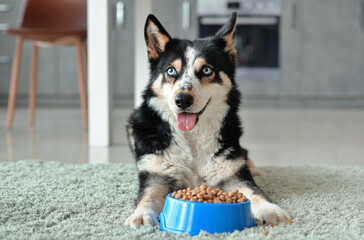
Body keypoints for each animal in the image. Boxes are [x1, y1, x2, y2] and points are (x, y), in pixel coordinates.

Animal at [125, 11, 290, 229]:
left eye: (206, 70)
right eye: (170, 71)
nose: (182, 100)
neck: (191, 138)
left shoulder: (233, 174)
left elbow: (254, 192)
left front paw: (270, 209)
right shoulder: (156, 175)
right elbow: (148, 197)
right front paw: (142, 215)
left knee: (245, 154)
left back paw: (257, 169)